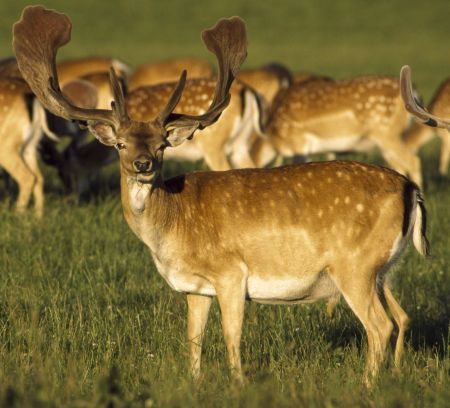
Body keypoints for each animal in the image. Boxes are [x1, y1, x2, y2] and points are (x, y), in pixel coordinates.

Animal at [14, 5, 428, 386]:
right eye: (120, 144)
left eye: (162, 144)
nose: (143, 164)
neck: (172, 227)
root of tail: (412, 190)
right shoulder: (195, 288)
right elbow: (193, 340)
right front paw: (195, 383)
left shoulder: (230, 272)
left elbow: (231, 337)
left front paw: (238, 384)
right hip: (382, 269)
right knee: (400, 316)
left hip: (354, 265)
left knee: (379, 326)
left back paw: (367, 385)